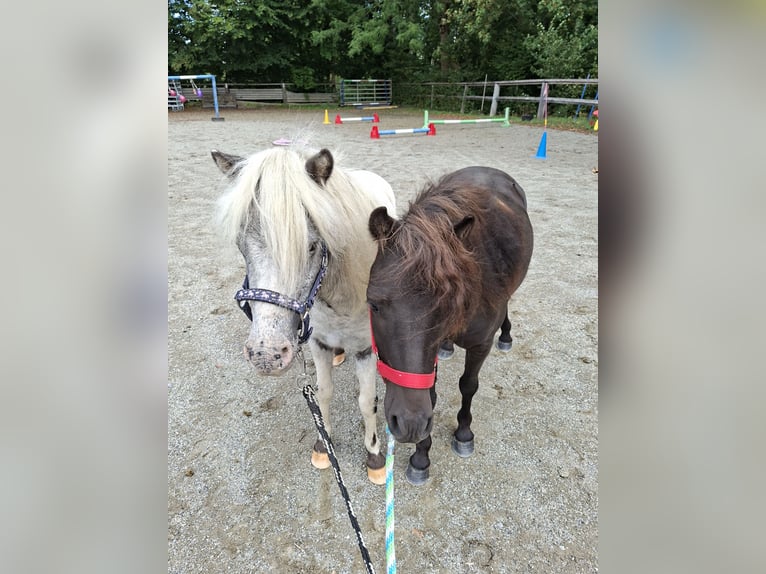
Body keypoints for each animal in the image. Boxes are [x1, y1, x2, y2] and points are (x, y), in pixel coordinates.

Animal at [212, 146, 396, 484]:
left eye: (311, 247)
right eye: (241, 245)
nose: (266, 355)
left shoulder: (366, 350)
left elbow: (367, 403)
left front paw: (375, 456)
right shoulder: (318, 343)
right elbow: (323, 393)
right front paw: (324, 445)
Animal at [367, 166, 533, 485]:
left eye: (446, 306)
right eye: (373, 304)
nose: (409, 423)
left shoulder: (480, 344)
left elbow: (468, 385)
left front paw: (463, 433)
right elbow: (430, 396)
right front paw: (421, 456)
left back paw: (506, 335)